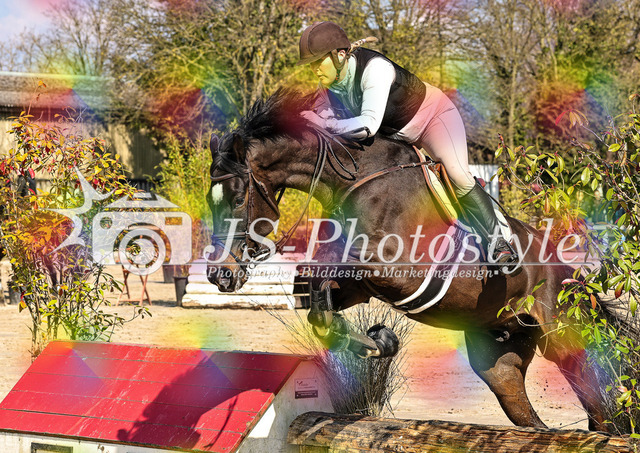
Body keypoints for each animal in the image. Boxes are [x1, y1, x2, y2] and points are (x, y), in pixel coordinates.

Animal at [205, 88, 624, 432]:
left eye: (238, 198)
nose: (219, 276)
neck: (355, 179)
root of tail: (572, 274)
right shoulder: (360, 286)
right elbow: (319, 309)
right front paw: (377, 342)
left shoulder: (397, 270)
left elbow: (322, 272)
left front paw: (377, 340)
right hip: (499, 357)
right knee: (529, 416)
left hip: (565, 337)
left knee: (598, 398)